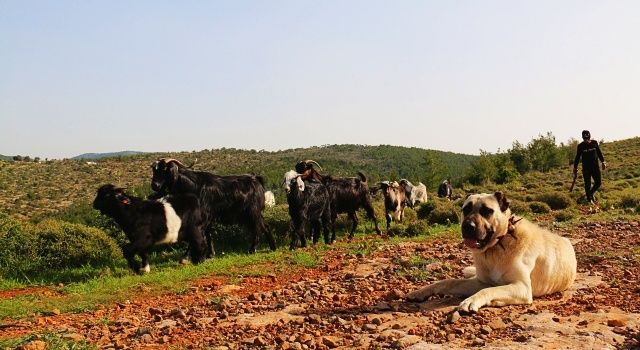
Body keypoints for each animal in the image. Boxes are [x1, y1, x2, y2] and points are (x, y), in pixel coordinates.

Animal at [408, 191, 576, 312]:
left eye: (486, 211)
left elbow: (490, 290)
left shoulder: (521, 287)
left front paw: (471, 300)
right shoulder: (479, 282)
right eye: (466, 209)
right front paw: (420, 292)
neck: (496, 246)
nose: (468, 226)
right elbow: (448, 282)